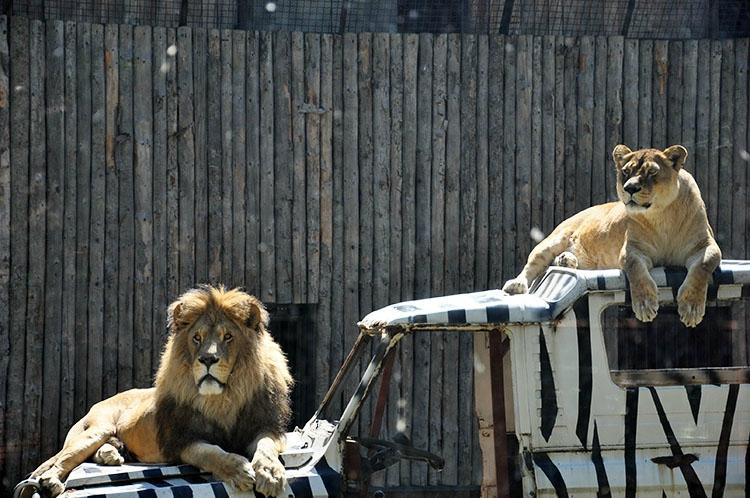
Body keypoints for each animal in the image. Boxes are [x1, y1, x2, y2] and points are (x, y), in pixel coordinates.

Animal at [27, 286, 290, 496]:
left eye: (228, 336)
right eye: (197, 338)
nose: (207, 359)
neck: (224, 398)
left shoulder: (265, 426)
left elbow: (266, 447)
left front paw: (270, 474)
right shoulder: (183, 440)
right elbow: (211, 453)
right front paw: (238, 469)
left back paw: (110, 455)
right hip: (95, 430)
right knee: (61, 460)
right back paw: (51, 481)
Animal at [506, 146, 724, 328]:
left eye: (652, 172)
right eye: (626, 172)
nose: (630, 188)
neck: (661, 216)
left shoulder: (706, 245)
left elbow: (703, 265)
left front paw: (692, 308)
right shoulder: (632, 250)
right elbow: (636, 269)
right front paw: (645, 305)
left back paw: (566, 260)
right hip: (553, 240)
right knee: (532, 266)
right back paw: (517, 284)